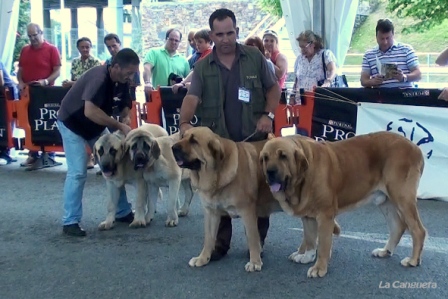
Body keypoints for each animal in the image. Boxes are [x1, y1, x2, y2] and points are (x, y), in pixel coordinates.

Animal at [260, 132, 428, 280]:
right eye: (265, 158)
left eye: (283, 156)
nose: (270, 171)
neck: (304, 175)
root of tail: (416, 148)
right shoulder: (308, 216)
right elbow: (309, 238)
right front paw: (307, 256)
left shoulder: (325, 215)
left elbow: (323, 244)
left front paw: (319, 268)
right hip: (385, 201)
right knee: (397, 226)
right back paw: (385, 251)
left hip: (402, 197)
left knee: (418, 230)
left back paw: (413, 260)